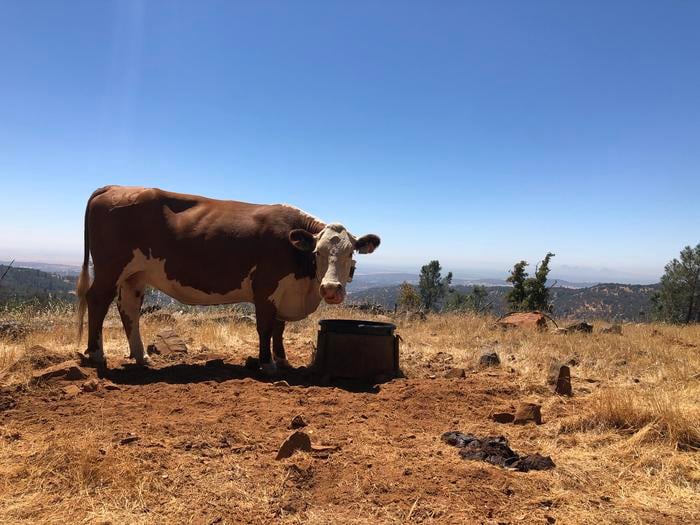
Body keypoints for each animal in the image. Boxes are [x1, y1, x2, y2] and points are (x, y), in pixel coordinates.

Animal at [76, 186, 380, 374]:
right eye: (317, 252)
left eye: (350, 252)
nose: (330, 289)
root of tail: (114, 187)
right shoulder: (265, 287)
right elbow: (265, 328)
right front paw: (267, 364)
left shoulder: (284, 292)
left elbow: (279, 328)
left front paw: (282, 359)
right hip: (110, 268)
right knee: (98, 300)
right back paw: (97, 354)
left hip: (134, 276)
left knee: (128, 309)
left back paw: (141, 356)